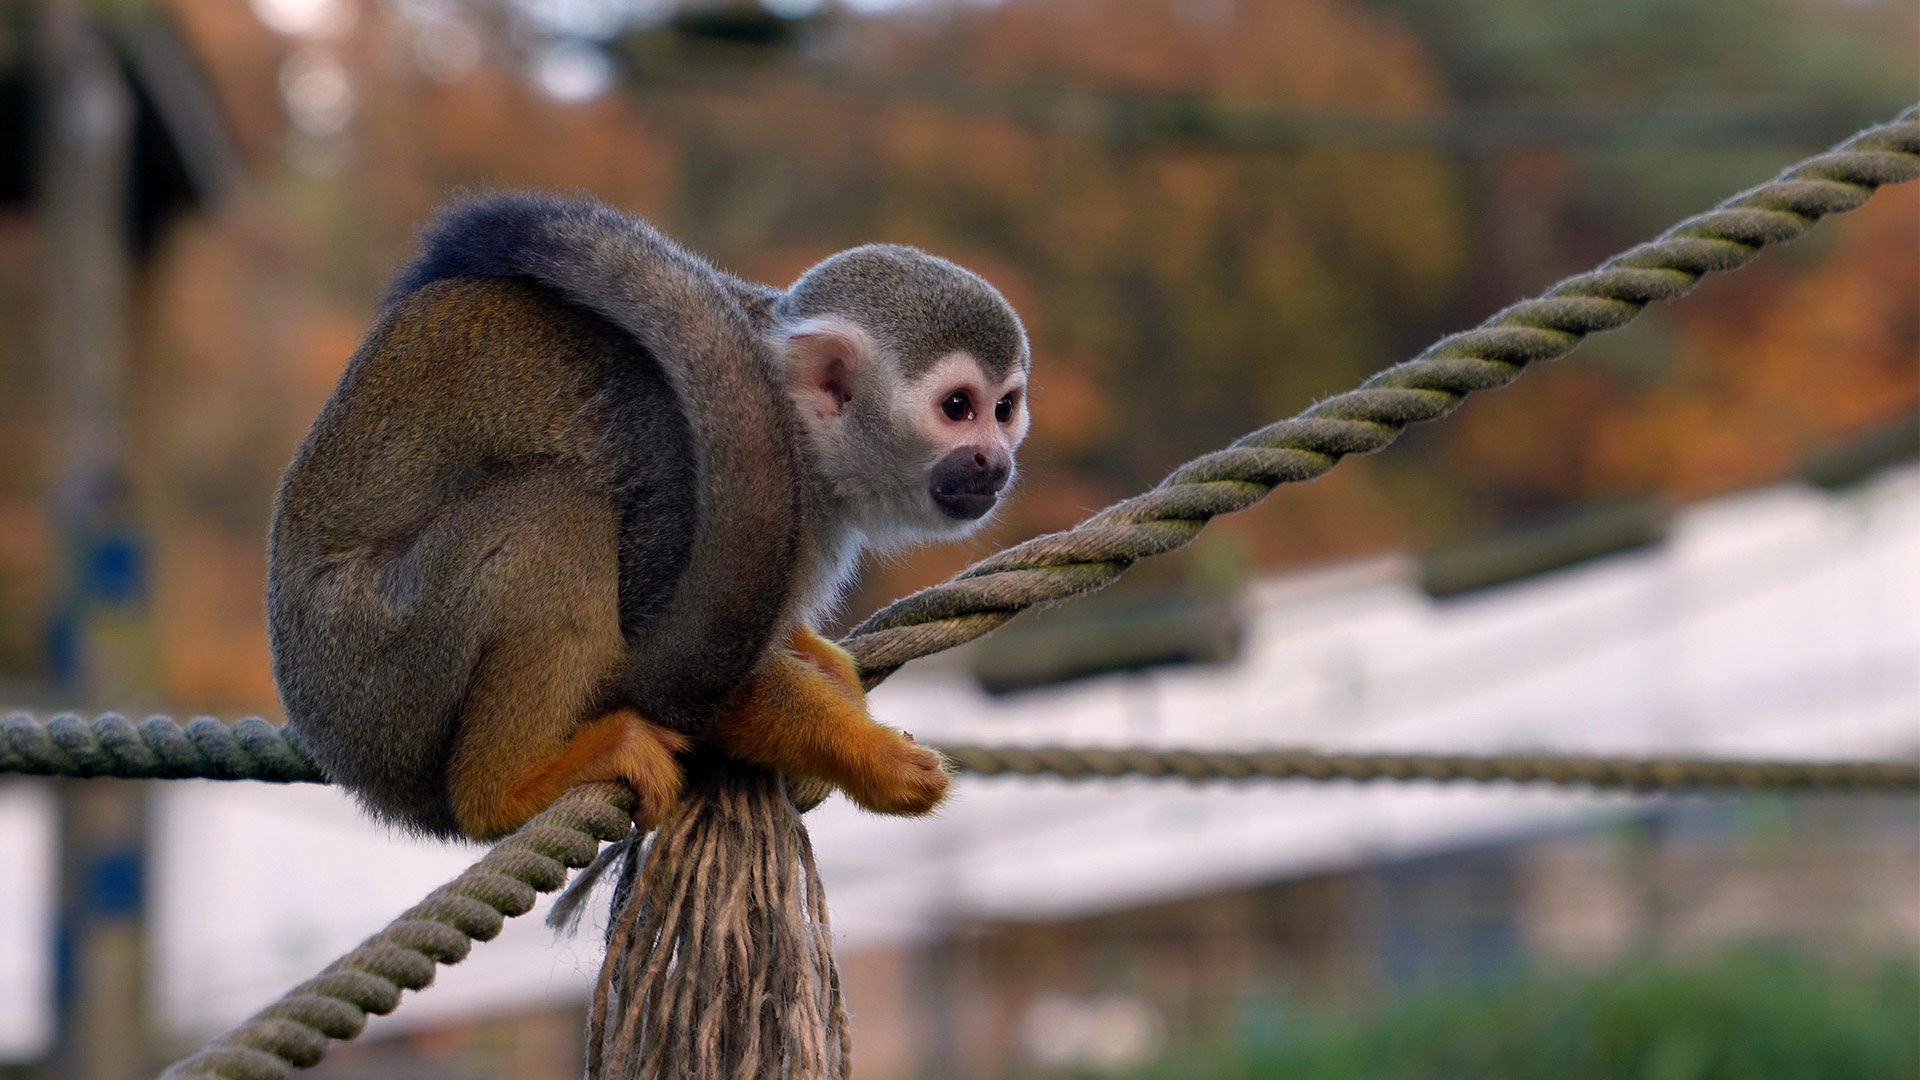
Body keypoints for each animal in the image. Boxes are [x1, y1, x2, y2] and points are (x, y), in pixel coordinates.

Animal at [266, 193, 1031, 840]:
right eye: (957, 407)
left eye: (1004, 408)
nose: (993, 461)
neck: (799, 437)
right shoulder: (680, 473)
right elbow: (668, 663)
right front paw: (867, 756)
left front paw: (824, 667)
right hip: (378, 672)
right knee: (554, 513)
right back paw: (504, 789)